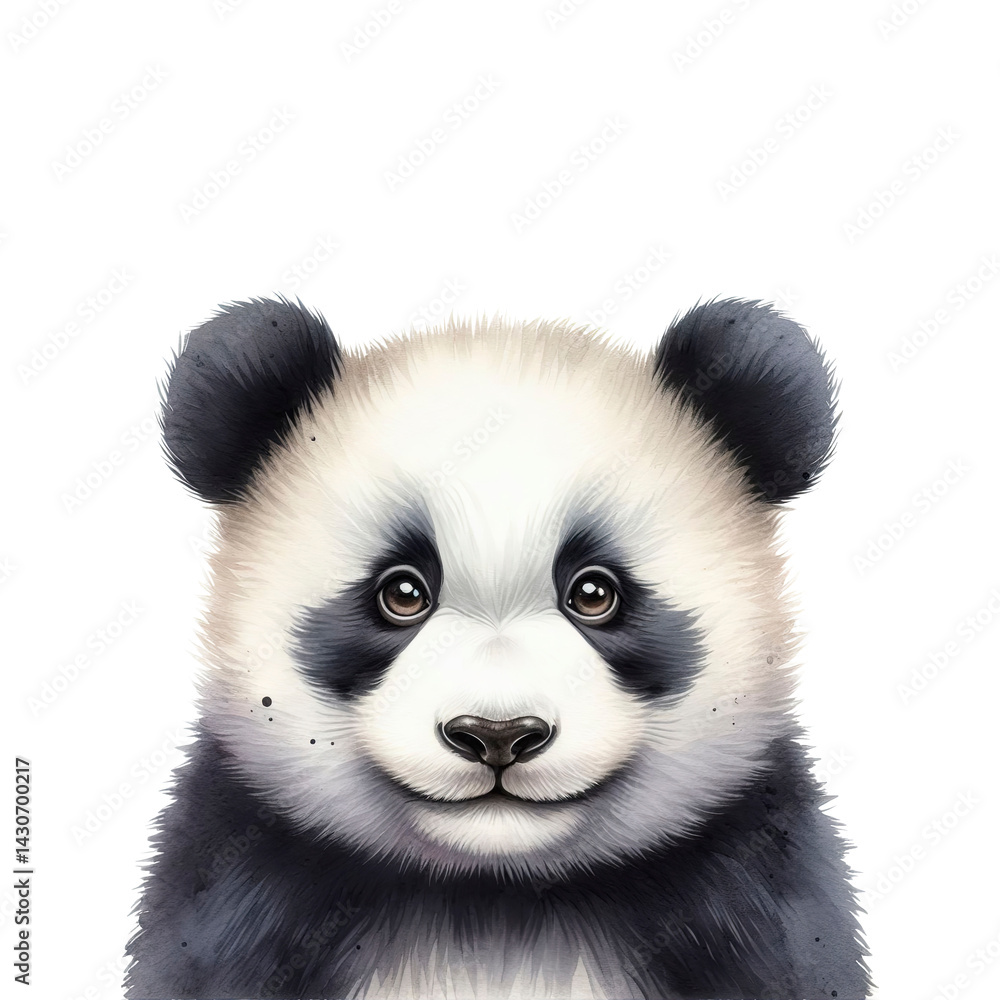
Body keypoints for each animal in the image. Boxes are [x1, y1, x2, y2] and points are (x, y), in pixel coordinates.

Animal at [125, 295, 871, 1000]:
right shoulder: (235, 899)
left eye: (594, 593)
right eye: (402, 592)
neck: (492, 897)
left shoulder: (759, 903)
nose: (497, 734)